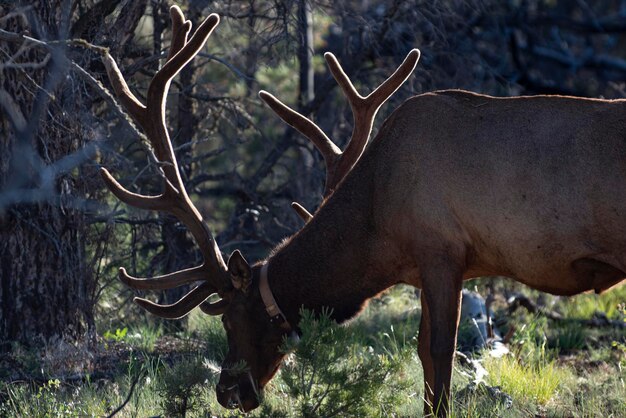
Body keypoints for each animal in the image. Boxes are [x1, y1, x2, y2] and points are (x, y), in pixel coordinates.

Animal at [97, 4, 624, 416]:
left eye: (228, 320)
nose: (227, 391)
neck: (378, 223)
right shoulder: (426, 267)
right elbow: (424, 355)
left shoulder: (442, 252)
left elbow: (441, 355)